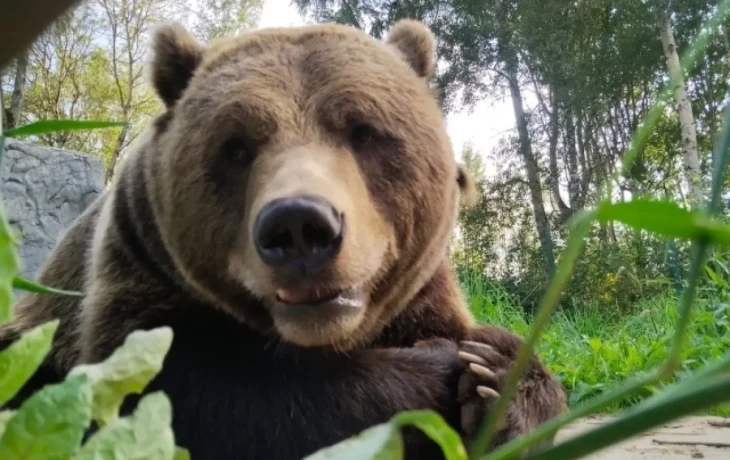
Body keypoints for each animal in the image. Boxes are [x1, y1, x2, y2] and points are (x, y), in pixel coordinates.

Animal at [0, 19, 566, 459]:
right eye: (235, 147)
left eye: (364, 130)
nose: (298, 226)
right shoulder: (136, 265)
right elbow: (201, 389)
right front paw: (440, 368)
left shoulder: (421, 288)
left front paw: (492, 372)